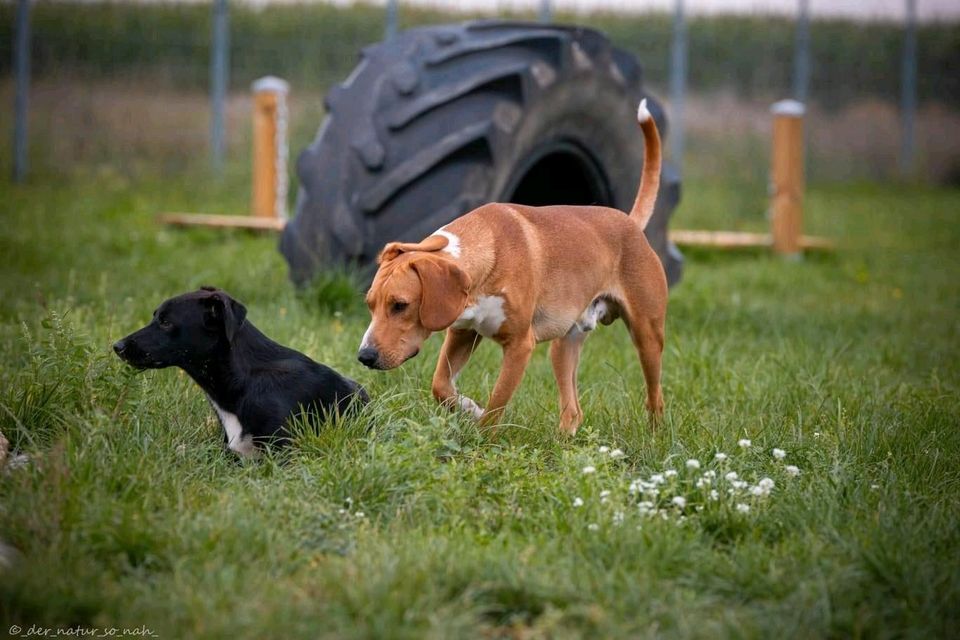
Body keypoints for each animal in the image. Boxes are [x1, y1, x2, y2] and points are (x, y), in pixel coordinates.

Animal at [356, 99, 664, 436]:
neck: (485, 254)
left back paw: (655, 438)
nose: (364, 356)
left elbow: (496, 405)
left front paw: (481, 436)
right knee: (573, 410)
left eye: (400, 305)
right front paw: (469, 408)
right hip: (564, 344)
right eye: (370, 305)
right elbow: (440, 385)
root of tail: (630, 223)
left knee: (656, 398)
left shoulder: (519, 346)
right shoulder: (463, 332)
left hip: (647, 334)